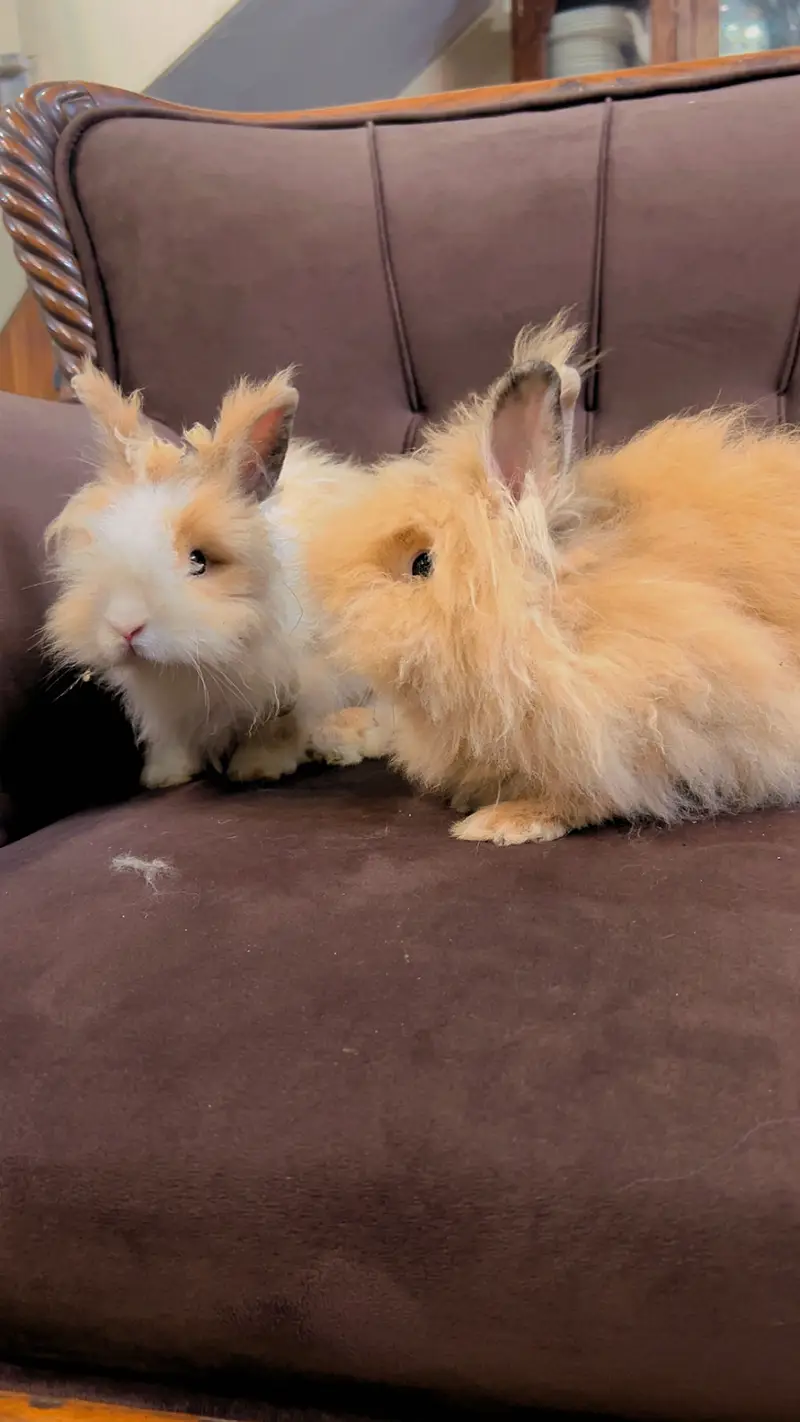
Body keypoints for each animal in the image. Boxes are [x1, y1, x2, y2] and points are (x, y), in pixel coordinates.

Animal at [44, 363, 370, 790]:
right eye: (100, 547)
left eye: (199, 560)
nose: (125, 627)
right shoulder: (167, 710)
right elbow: (169, 737)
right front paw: (165, 775)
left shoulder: (299, 680)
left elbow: (277, 728)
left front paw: (258, 768)